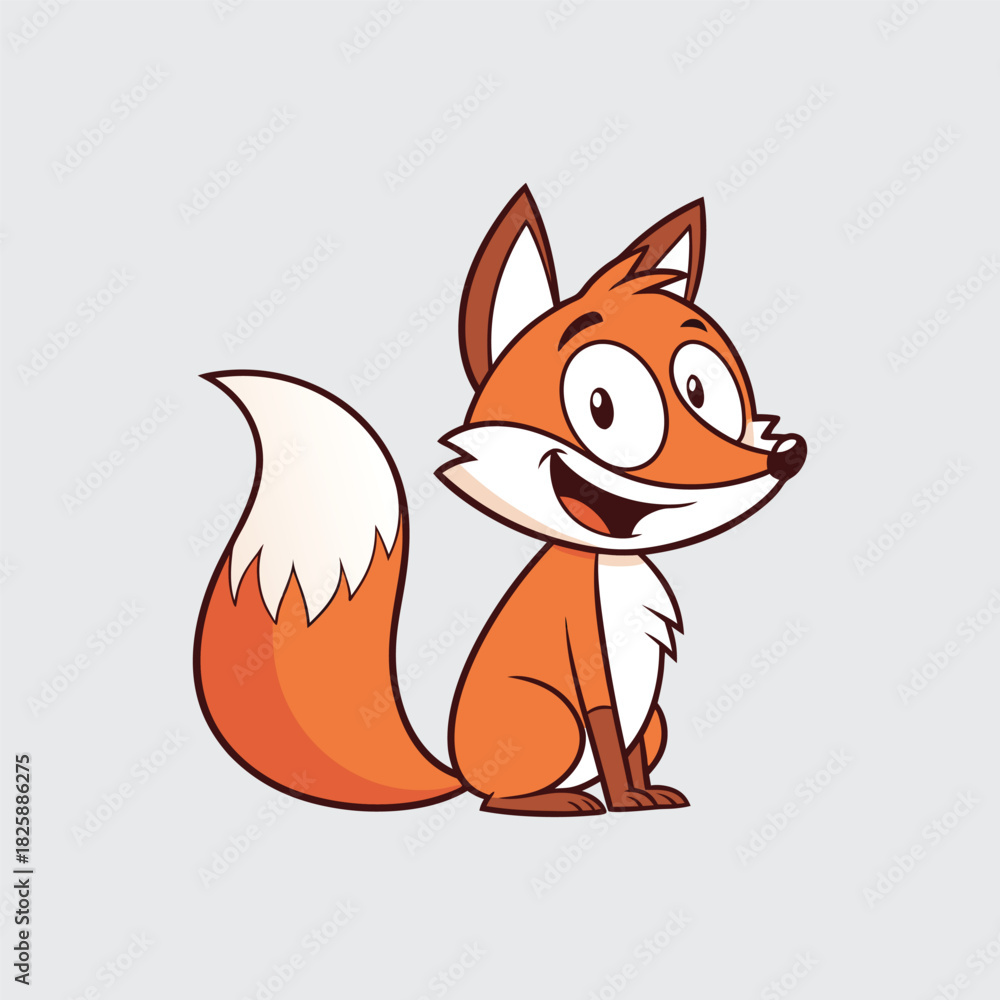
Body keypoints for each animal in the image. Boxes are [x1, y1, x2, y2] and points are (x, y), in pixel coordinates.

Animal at [194, 187, 806, 818]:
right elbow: (608, 732)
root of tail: (458, 770)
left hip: (653, 717)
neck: (610, 564)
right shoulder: (586, 654)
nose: (786, 457)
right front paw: (623, 801)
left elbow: (629, 752)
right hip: (551, 718)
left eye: (700, 390)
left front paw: (643, 795)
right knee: (498, 799)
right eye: (602, 406)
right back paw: (556, 802)